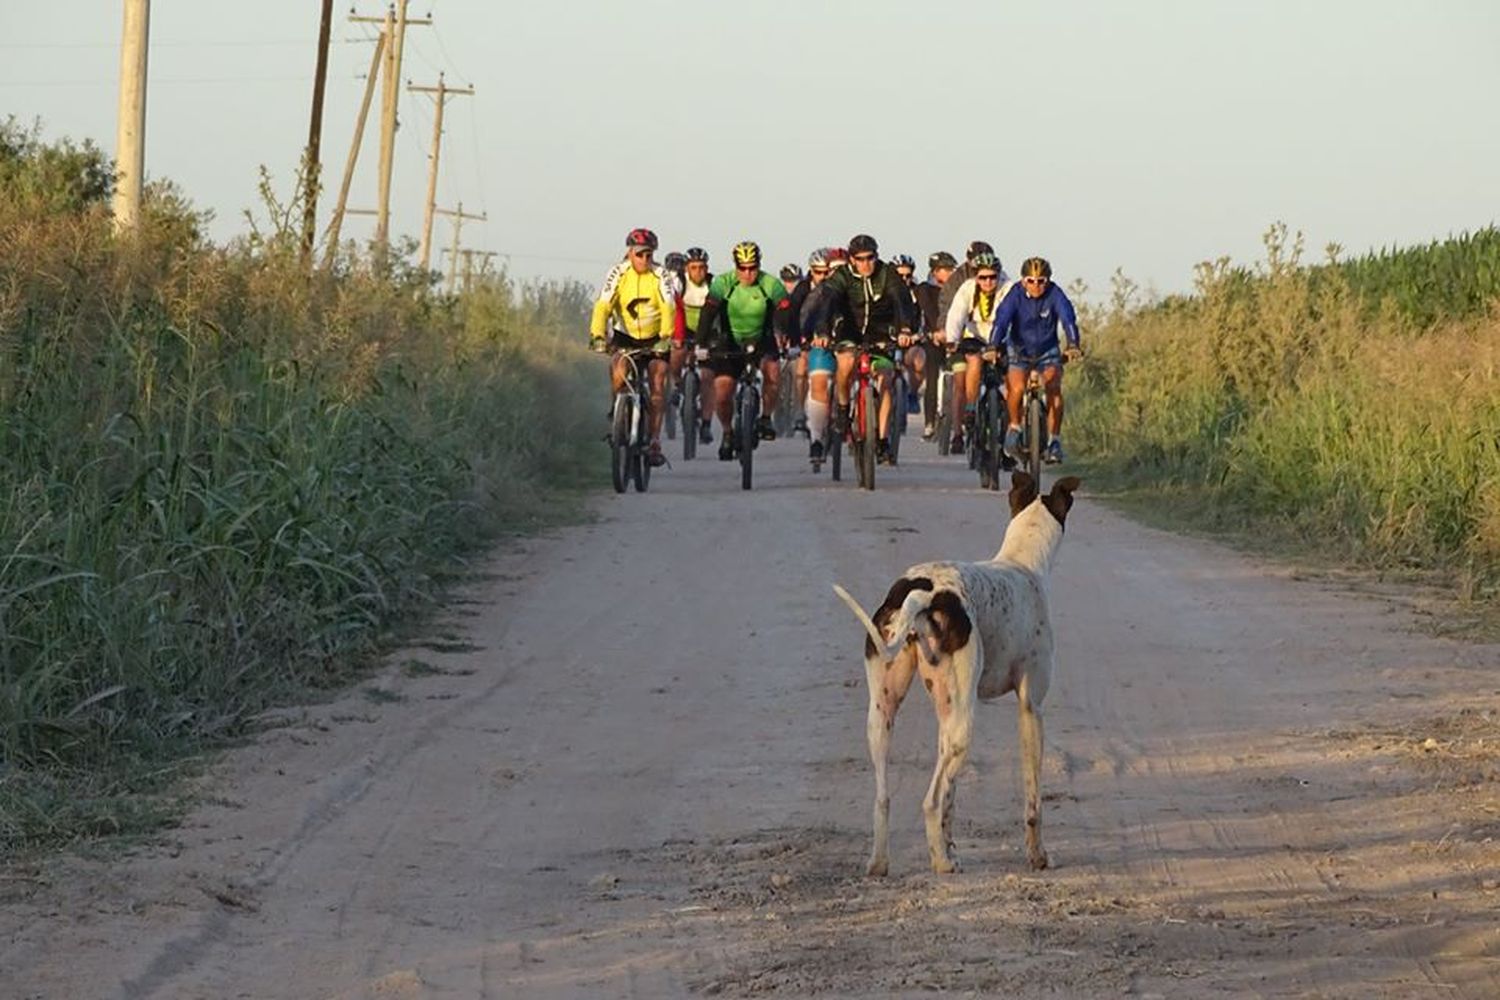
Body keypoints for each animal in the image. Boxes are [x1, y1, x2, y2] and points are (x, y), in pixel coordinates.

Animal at [834, 473, 1080, 869]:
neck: (1022, 564)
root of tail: (923, 593)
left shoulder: (943, 721)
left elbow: (952, 798)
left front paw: (949, 844)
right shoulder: (1031, 708)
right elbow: (1032, 800)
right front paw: (1038, 855)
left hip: (888, 714)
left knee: (885, 797)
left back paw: (881, 864)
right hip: (964, 723)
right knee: (930, 801)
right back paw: (942, 865)